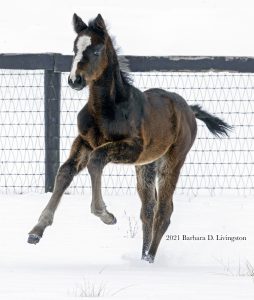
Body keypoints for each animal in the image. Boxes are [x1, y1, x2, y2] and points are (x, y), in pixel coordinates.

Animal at [27, 14, 230, 262]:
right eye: (75, 48)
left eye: (96, 50)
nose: (75, 80)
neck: (104, 110)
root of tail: (189, 110)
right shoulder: (84, 142)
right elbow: (65, 172)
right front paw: (36, 231)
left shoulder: (132, 147)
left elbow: (96, 160)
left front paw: (105, 214)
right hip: (147, 165)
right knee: (148, 209)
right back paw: (143, 256)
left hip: (172, 160)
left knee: (164, 209)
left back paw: (149, 259)